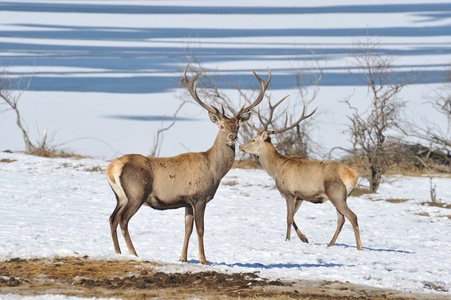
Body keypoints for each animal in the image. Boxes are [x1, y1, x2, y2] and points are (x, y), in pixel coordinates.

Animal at [106, 63, 272, 264]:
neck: (214, 170)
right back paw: (133, 253)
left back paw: (117, 252)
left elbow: (187, 229)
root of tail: (111, 168)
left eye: (237, 126)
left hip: (120, 196)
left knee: (112, 218)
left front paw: (183, 258)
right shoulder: (199, 197)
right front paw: (204, 260)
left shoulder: (186, 201)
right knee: (123, 219)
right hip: (136, 193)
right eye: (222, 126)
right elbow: (200, 229)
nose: (233, 137)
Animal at [240, 96, 364, 251]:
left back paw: (359, 248)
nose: (241, 146)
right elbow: (293, 217)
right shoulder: (299, 196)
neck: (276, 169)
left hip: (336, 194)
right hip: (341, 197)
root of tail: (353, 176)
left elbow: (288, 218)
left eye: (253, 140)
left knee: (352, 217)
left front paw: (287, 240)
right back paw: (330, 244)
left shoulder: (288, 193)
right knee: (341, 219)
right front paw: (304, 238)